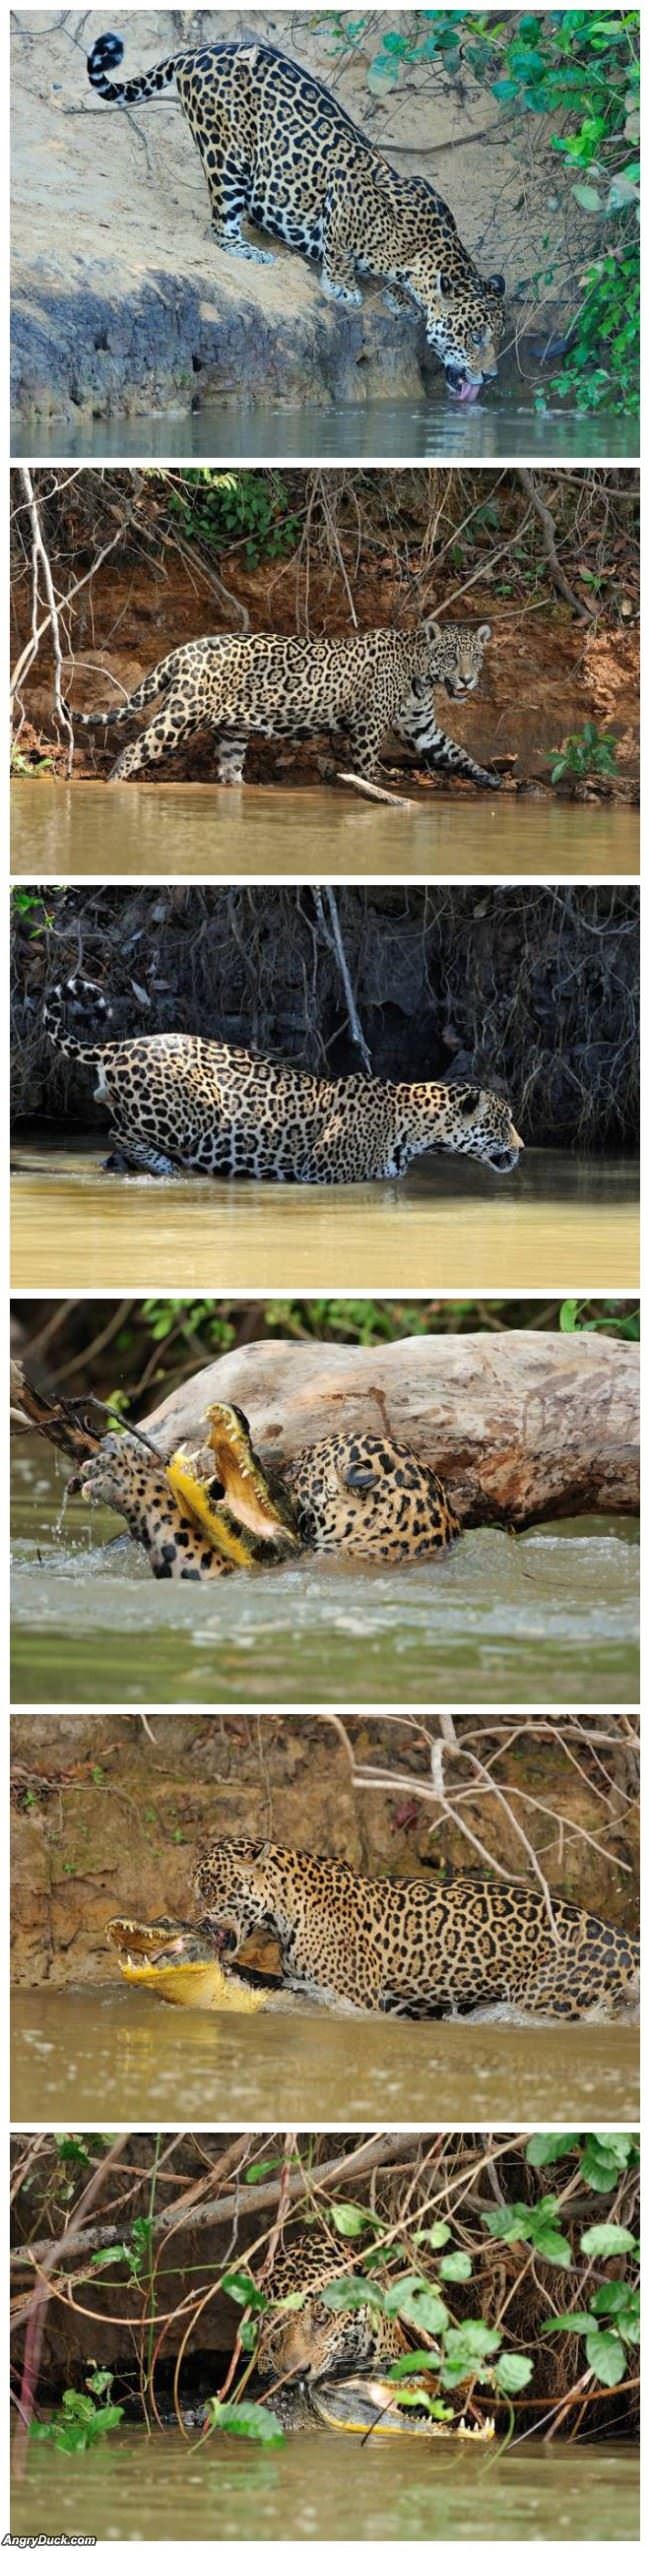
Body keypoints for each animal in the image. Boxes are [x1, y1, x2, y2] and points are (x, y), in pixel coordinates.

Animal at [43, 974, 523, 1183]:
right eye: (501, 1122)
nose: (520, 1148)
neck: (417, 1127)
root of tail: (119, 1046)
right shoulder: (323, 1174)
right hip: (187, 1116)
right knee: (120, 1131)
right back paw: (167, 1167)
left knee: (116, 1143)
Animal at [73, 621, 500, 792]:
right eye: (450, 657)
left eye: (476, 657)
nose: (466, 680)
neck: (420, 675)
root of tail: (183, 651)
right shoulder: (369, 727)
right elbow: (365, 765)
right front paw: (374, 787)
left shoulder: (420, 727)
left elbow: (456, 750)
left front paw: (490, 778)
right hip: (182, 714)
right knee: (133, 748)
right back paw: (112, 787)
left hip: (231, 731)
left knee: (228, 770)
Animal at [87, 33, 506, 401]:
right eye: (475, 337)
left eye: (498, 337)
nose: (491, 376)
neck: (423, 247)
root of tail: (202, 49)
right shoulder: (344, 191)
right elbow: (338, 248)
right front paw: (343, 287)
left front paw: (399, 297)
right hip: (227, 153)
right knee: (221, 225)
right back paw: (250, 250)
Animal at [192, 1838, 640, 2022]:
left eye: (210, 1887)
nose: (195, 1921)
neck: (286, 1909)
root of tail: (624, 1939)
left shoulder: (354, 2000)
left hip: (550, 1998)